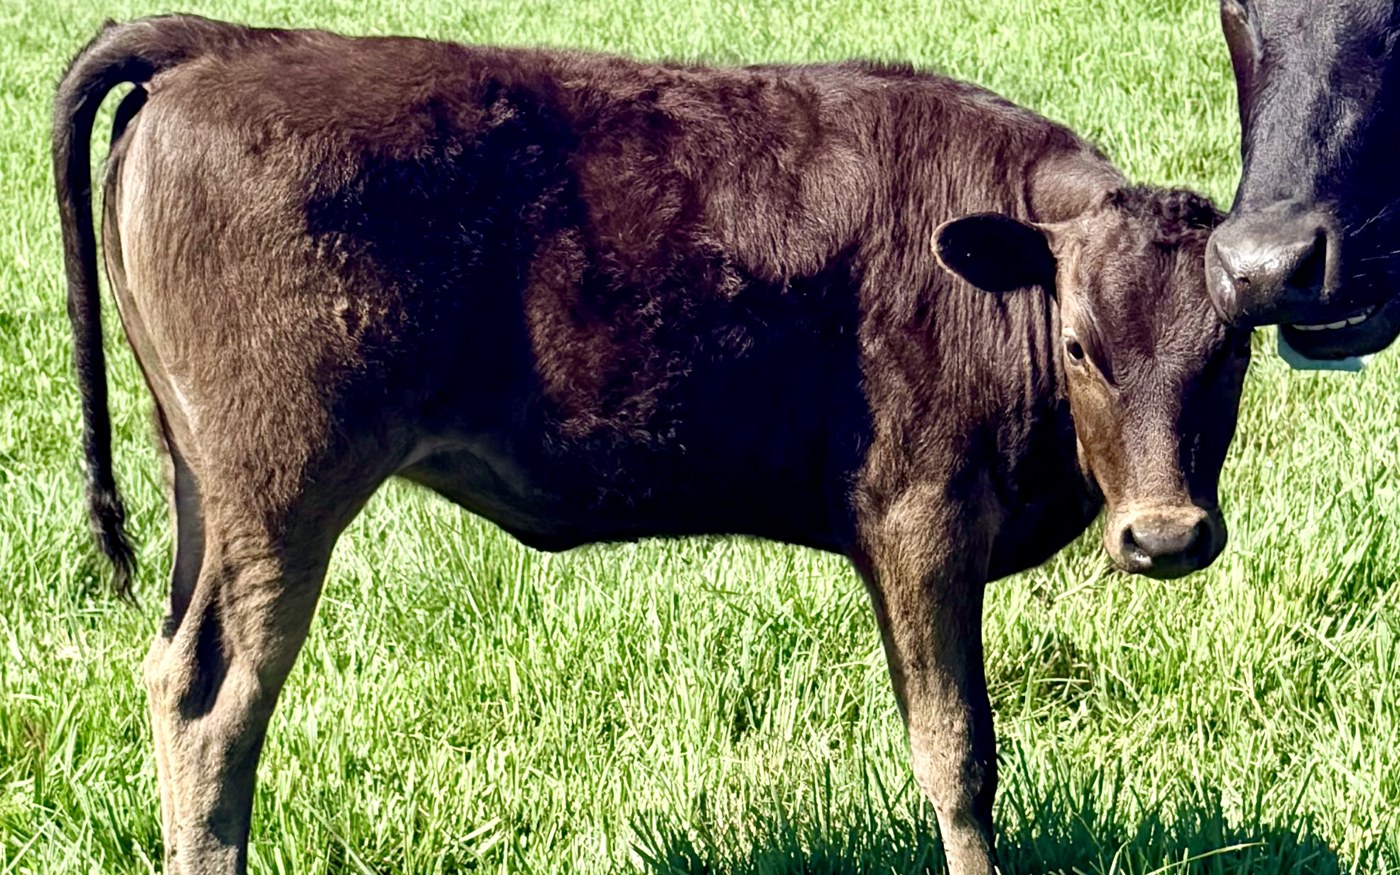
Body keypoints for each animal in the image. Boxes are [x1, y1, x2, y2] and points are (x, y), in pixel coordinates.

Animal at [53, 16, 1251, 875]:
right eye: (1080, 343)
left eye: (1230, 346)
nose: (1165, 536)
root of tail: (224, 43)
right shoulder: (923, 523)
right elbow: (958, 754)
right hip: (279, 490)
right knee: (212, 698)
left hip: (203, 489)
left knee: (174, 671)